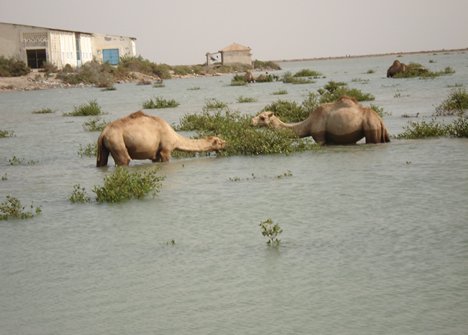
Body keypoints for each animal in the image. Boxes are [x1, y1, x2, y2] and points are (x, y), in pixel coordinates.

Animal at [96, 111, 225, 167]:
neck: (175, 137)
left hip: (104, 147)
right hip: (116, 141)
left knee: (102, 161)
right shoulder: (165, 149)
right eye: (219, 142)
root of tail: (103, 133)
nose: (226, 143)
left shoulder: (155, 154)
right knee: (124, 159)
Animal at [252, 96, 392, 146]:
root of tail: (380, 120)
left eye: (262, 117)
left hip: (371, 127)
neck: (309, 123)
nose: (252, 121)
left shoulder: (319, 136)